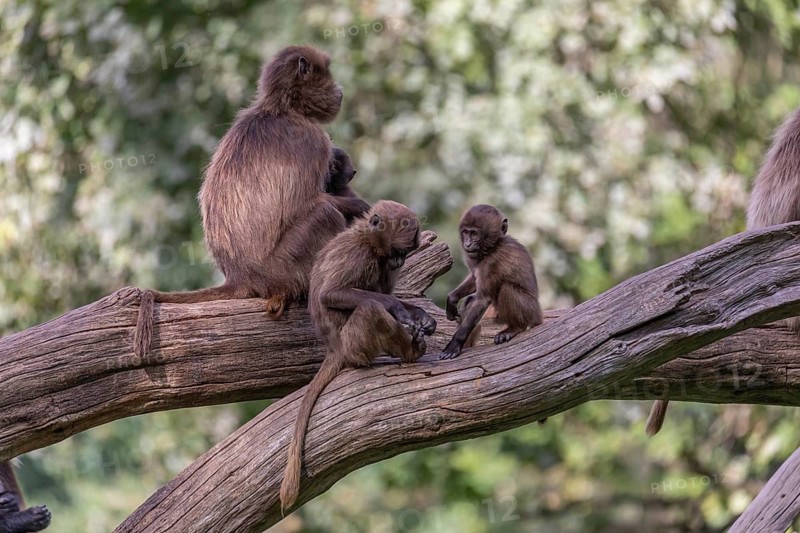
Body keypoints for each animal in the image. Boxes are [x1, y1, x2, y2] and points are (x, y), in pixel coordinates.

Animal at [135, 45, 350, 358]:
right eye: (328, 74)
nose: (340, 90)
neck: (282, 107)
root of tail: (240, 276)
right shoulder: (314, 139)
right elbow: (306, 203)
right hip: (281, 270)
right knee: (325, 213)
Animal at [279, 200, 436, 514]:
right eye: (398, 251)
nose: (399, 262)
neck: (367, 240)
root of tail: (334, 348)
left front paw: (420, 316)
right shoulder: (358, 254)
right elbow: (332, 294)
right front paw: (399, 309)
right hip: (353, 343)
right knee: (369, 309)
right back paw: (409, 351)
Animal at [440, 204, 543, 360]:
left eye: (474, 234)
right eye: (466, 232)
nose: (467, 243)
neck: (493, 247)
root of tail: (540, 316)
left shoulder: (491, 262)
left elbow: (482, 300)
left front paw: (454, 344)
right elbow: (474, 279)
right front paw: (452, 299)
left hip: (531, 312)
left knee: (507, 289)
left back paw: (516, 328)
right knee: (470, 301)